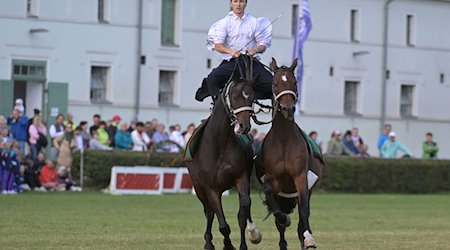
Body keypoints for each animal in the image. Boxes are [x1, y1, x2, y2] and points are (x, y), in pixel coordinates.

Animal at [187, 56, 264, 250]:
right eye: (235, 96)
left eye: (252, 98)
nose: (244, 126)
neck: (219, 143)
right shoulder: (210, 188)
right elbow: (222, 224)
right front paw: (227, 244)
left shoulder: (241, 177)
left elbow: (243, 211)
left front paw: (247, 240)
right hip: (199, 187)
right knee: (209, 212)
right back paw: (208, 242)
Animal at [256, 57, 324, 249]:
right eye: (274, 84)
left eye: (294, 82)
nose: (287, 108)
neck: (284, 140)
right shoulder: (274, 180)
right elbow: (273, 201)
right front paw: (283, 219)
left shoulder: (301, 177)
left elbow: (304, 211)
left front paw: (309, 238)